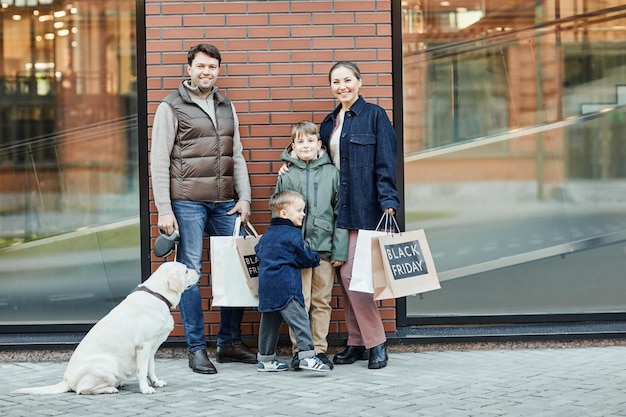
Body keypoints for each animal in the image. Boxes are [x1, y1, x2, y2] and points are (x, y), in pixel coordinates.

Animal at [12, 262, 199, 394]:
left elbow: (150, 368)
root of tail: (66, 381)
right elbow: (142, 370)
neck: (158, 295)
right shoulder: (143, 346)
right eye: (186, 270)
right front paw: (145, 389)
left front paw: (156, 382)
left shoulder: (152, 348)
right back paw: (110, 388)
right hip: (105, 366)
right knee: (82, 390)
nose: (199, 270)